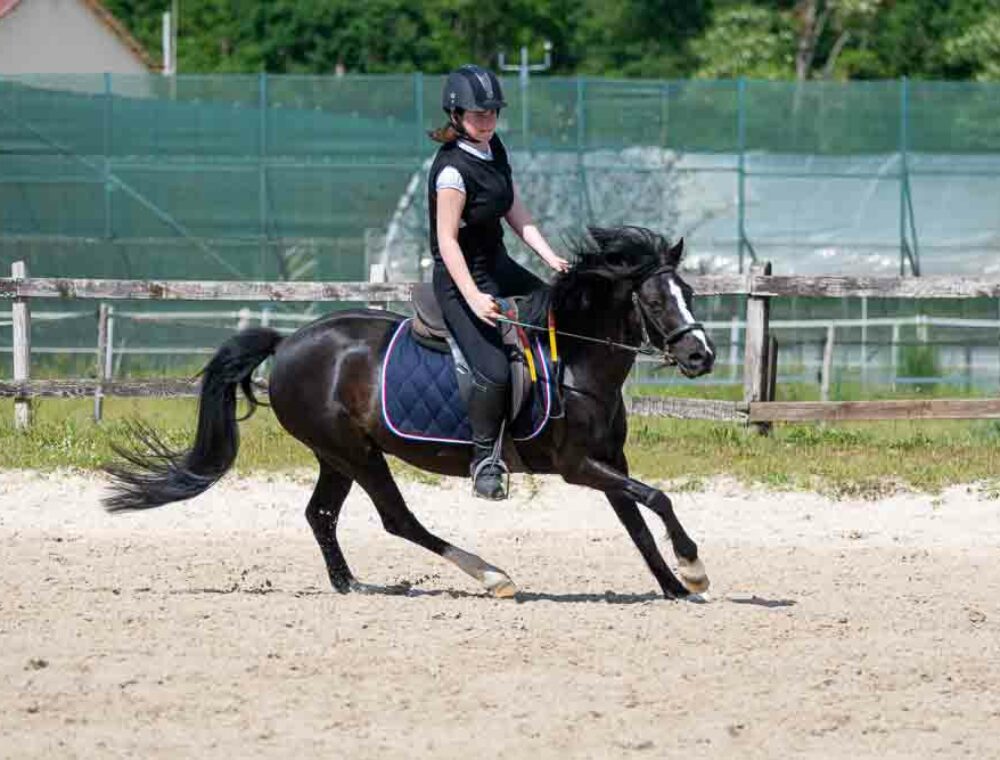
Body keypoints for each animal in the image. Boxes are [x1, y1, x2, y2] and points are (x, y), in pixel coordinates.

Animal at [105, 226, 720, 600]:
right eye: (657, 301)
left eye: (689, 293)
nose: (702, 356)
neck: (575, 360)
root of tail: (289, 342)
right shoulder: (576, 466)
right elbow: (657, 499)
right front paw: (692, 567)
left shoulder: (609, 460)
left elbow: (637, 519)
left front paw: (673, 584)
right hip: (355, 452)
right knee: (397, 519)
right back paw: (491, 575)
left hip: (337, 454)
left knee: (320, 514)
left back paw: (349, 583)